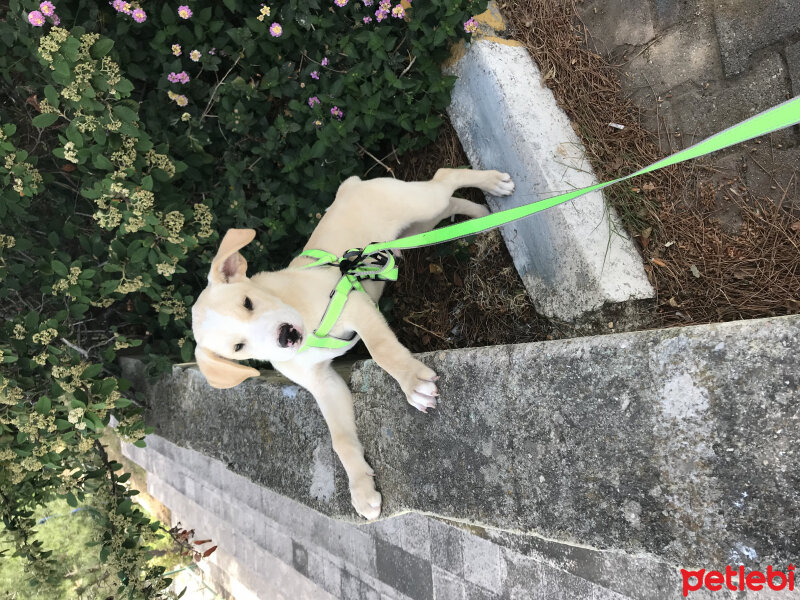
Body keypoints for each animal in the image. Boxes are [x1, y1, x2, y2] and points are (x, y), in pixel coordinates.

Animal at [195, 166, 520, 516]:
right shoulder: (324, 384)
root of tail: (350, 187)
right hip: (418, 228)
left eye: (247, 302)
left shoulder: (354, 305)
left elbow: (381, 351)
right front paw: (362, 490)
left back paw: (493, 184)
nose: (286, 336)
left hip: (418, 204)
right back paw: (483, 217)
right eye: (238, 348)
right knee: (449, 205)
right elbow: (340, 439)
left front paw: (412, 383)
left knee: (445, 178)